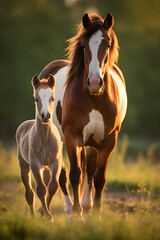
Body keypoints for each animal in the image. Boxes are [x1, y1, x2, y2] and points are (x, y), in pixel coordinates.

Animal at [15, 74, 73, 220]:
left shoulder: (55, 162)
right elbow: (40, 189)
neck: (46, 137)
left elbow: (52, 187)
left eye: (52, 98)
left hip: (46, 168)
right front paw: (47, 215)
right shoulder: (35, 163)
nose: (45, 115)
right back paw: (32, 215)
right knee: (29, 193)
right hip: (24, 166)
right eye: (36, 98)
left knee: (46, 184)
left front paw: (44, 212)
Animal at [38, 12, 127, 217]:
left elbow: (99, 176)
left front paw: (96, 213)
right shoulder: (73, 136)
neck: (94, 99)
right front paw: (78, 213)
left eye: (107, 44)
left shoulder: (108, 140)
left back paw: (87, 205)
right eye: (84, 46)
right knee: (62, 175)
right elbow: (74, 174)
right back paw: (69, 210)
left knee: (90, 169)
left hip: (93, 143)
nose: (94, 82)